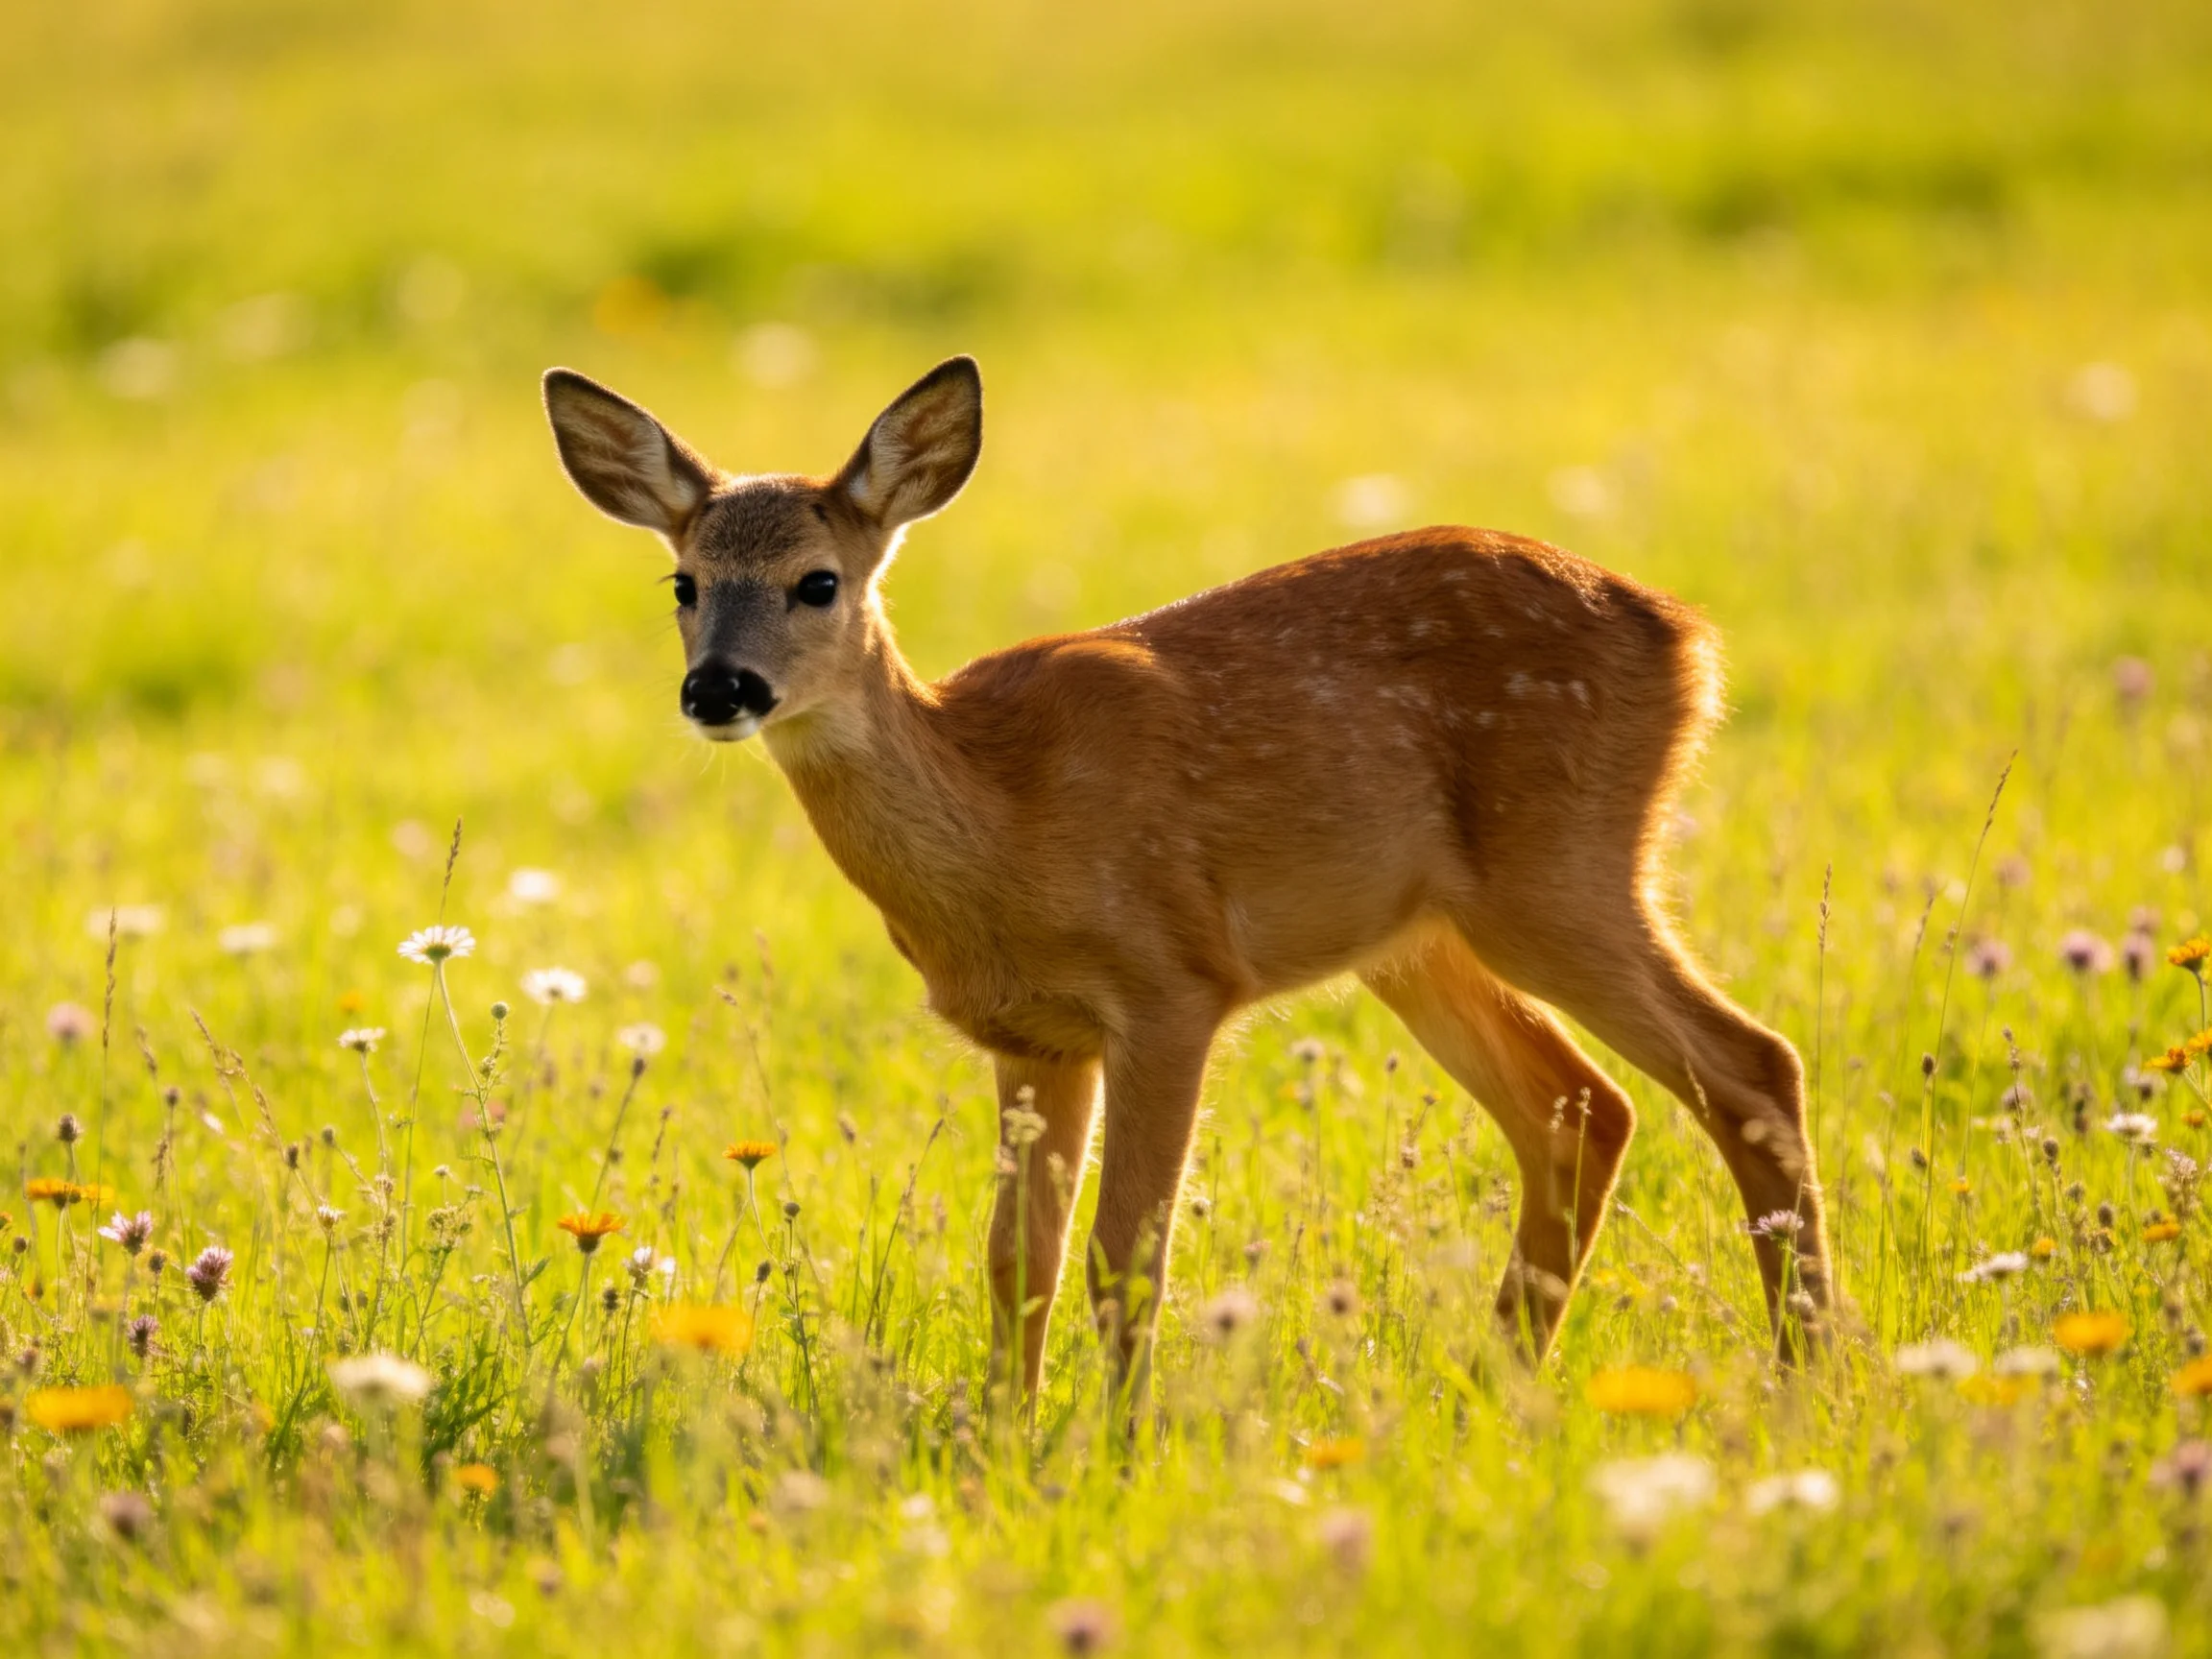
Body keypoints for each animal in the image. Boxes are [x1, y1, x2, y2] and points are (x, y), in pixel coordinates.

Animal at [542, 355, 1832, 1406]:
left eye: (818, 581)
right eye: (683, 585)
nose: (720, 689)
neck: (1005, 823)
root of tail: (1690, 636)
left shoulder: (1172, 984)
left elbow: (1126, 1252)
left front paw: (1109, 1451)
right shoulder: (1033, 1036)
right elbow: (1018, 1259)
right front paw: (1005, 1443)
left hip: (1560, 871)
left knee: (1749, 1062)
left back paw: (1807, 1374)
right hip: (1420, 940)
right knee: (1582, 1109)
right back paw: (1494, 1386)